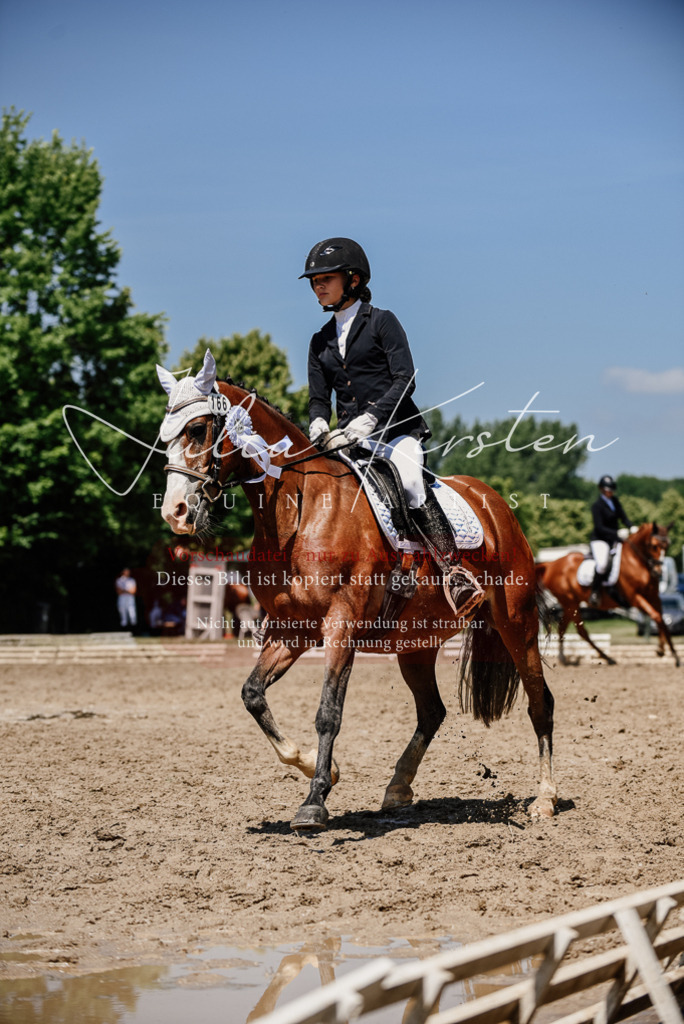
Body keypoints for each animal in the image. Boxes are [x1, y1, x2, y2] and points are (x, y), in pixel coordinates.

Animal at [156, 351, 557, 831]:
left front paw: (314, 801)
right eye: (164, 434)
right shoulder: (292, 630)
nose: (175, 513)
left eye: (198, 430)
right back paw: (398, 788)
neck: (299, 511)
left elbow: (329, 712)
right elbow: (252, 695)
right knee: (432, 711)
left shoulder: (340, 625)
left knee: (540, 703)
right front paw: (321, 768)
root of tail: (494, 503)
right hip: (416, 642)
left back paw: (545, 799)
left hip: (516, 624)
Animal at [536, 523, 680, 667]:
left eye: (667, 546)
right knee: (580, 631)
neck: (637, 562)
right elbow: (656, 616)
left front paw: (668, 652)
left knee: (564, 627)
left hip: (571, 604)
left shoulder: (654, 597)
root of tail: (551, 564)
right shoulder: (634, 598)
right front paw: (667, 652)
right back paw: (603, 657)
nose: (658, 572)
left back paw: (570, 658)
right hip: (570, 602)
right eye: (654, 545)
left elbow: (661, 620)